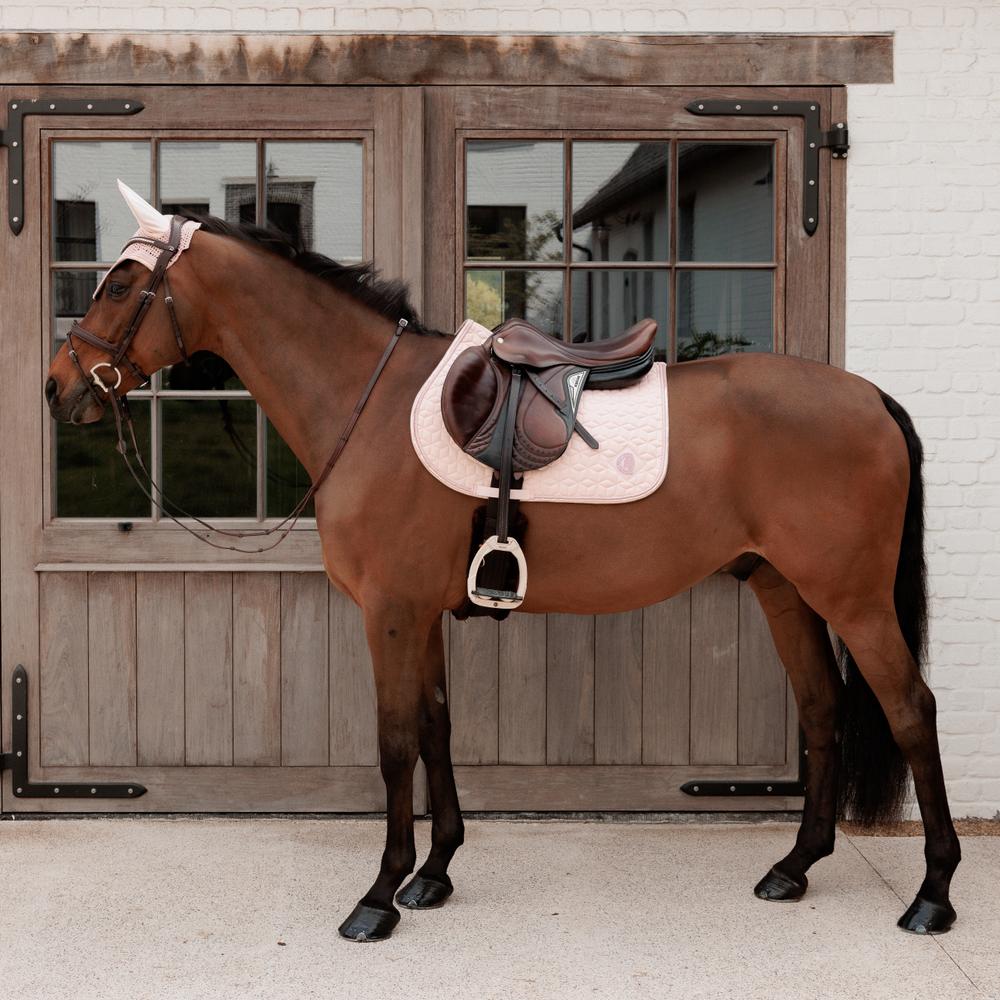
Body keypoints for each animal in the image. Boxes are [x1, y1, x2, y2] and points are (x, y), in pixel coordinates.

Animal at [44, 186, 961, 941]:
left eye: (119, 285)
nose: (58, 388)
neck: (370, 404)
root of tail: (870, 397)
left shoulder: (390, 613)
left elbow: (396, 745)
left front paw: (377, 899)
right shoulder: (420, 614)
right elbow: (437, 728)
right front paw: (433, 876)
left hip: (853, 599)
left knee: (911, 709)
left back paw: (933, 895)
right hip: (785, 590)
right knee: (821, 709)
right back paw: (794, 868)